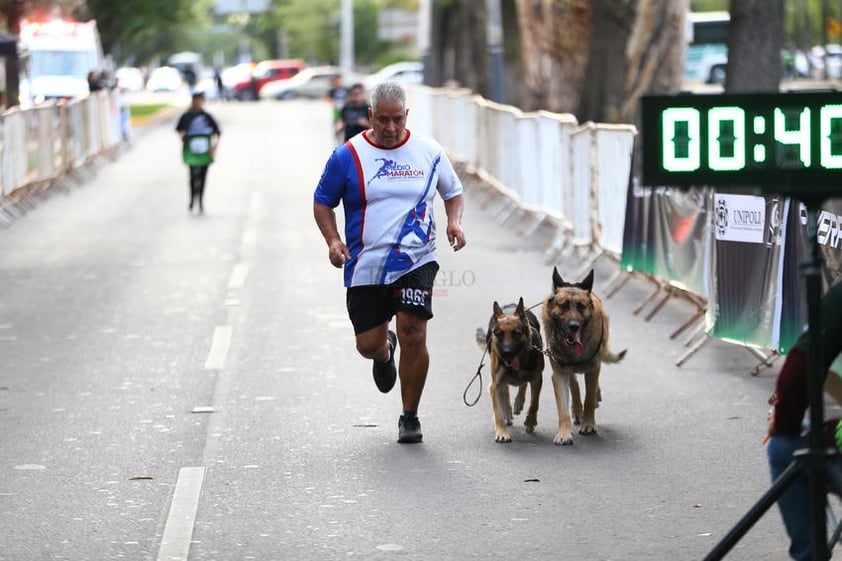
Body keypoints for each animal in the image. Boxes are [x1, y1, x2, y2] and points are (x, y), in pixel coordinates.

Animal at [480, 298, 544, 442]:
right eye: (499, 334)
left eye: (516, 333)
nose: (506, 353)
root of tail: (512, 305)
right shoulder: (496, 385)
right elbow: (498, 412)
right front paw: (502, 432)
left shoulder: (537, 379)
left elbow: (534, 403)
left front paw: (530, 421)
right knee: (506, 390)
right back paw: (508, 411)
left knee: (523, 384)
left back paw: (518, 402)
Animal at [540, 268, 624, 446]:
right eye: (564, 305)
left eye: (581, 306)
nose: (574, 326)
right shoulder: (559, 375)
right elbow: (563, 408)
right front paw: (564, 433)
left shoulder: (593, 369)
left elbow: (589, 398)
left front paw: (589, 425)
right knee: (574, 384)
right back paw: (577, 410)